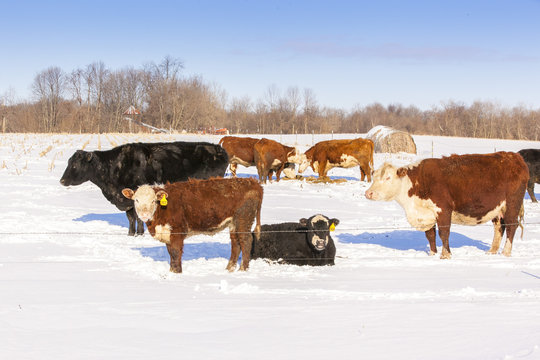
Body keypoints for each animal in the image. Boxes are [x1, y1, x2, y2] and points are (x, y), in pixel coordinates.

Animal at [60, 141, 229, 236]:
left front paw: (140, 233)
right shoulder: (128, 200)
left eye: (75, 165)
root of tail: (219, 149)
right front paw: (131, 234)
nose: (62, 181)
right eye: (69, 162)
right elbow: (131, 218)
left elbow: (138, 217)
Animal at [123, 177, 266, 272]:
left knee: (246, 240)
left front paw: (176, 273)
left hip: (243, 219)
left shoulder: (177, 231)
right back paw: (229, 269)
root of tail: (253, 182)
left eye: (153, 201)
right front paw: (171, 271)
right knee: (235, 243)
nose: (144, 215)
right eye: (136, 200)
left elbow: (175, 253)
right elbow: (170, 253)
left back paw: (242, 269)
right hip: (233, 223)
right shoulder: (167, 233)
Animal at [362, 152, 528, 258]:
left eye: (388, 178)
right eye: (374, 178)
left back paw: (506, 252)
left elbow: (444, 233)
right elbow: (430, 235)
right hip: (497, 209)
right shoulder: (427, 214)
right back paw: (492, 251)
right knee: (499, 227)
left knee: (511, 226)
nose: (369, 193)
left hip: (512, 204)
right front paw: (432, 254)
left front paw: (445, 255)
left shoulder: (443, 210)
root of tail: (514, 157)